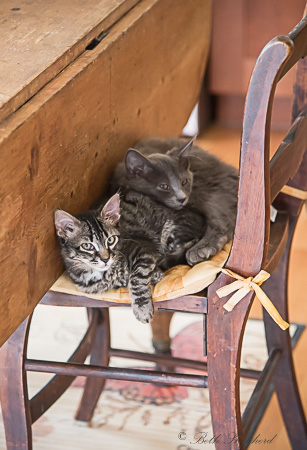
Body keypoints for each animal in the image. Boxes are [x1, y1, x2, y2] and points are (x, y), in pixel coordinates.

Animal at [112, 135, 239, 266]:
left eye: (184, 182)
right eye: (164, 186)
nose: (182, 198)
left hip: (204, 191)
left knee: (222, 222)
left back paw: (201, 249)